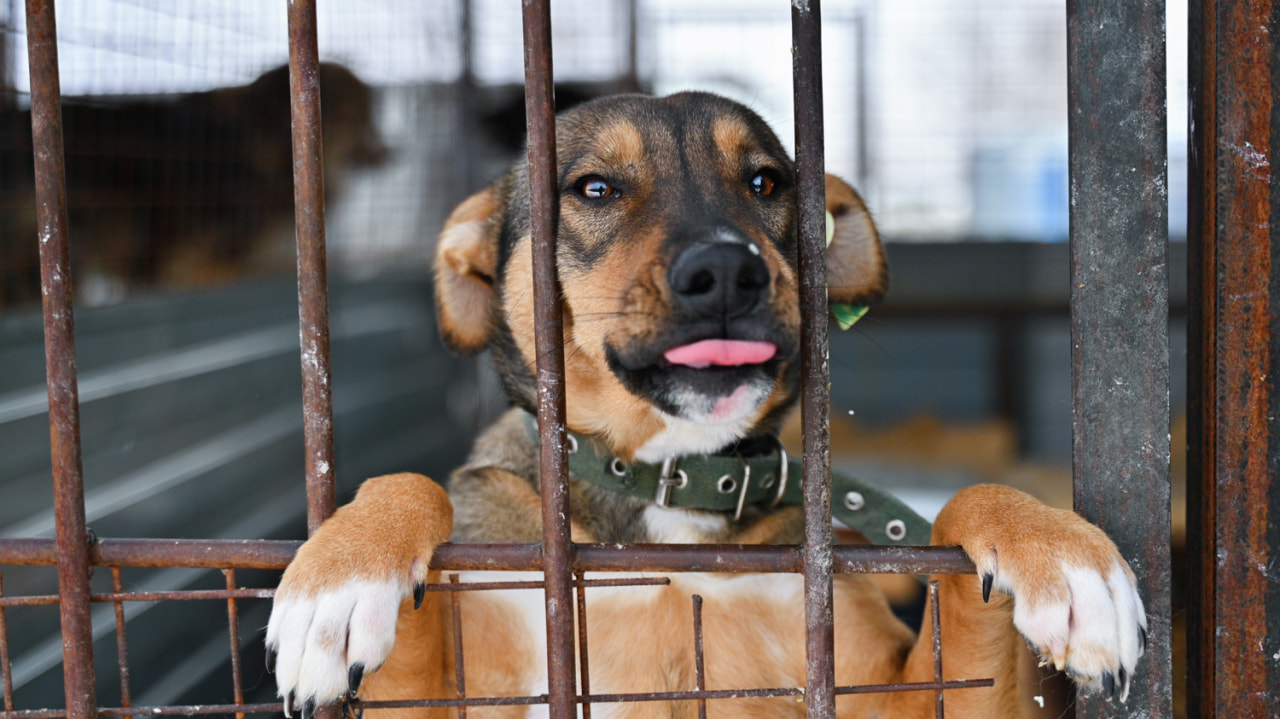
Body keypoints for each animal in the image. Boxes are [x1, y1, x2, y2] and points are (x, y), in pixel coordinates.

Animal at [264, 92, 1146, 711]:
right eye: (594, 187)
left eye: (765, 182)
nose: (726, 272)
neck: (668, 481)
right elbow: (409, 484)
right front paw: (337, 579)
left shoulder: (882, 685)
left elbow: (970, 507)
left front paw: (1063, 552)